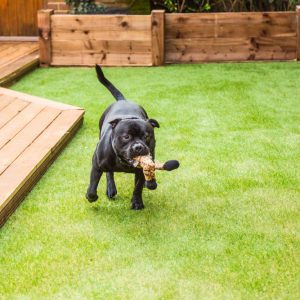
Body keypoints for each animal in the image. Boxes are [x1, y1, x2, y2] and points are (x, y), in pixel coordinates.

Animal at [85, 65, 161, 210]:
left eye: (147, 136)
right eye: (126, 136)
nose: (138, 147)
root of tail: (122, 100)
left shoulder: (142, 168)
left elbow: (138, 186)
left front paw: (137, 202)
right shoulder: (96, 163)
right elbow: (93, 184)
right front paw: (91, 197)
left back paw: (150, 183)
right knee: (109, 173)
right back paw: (111, 189)